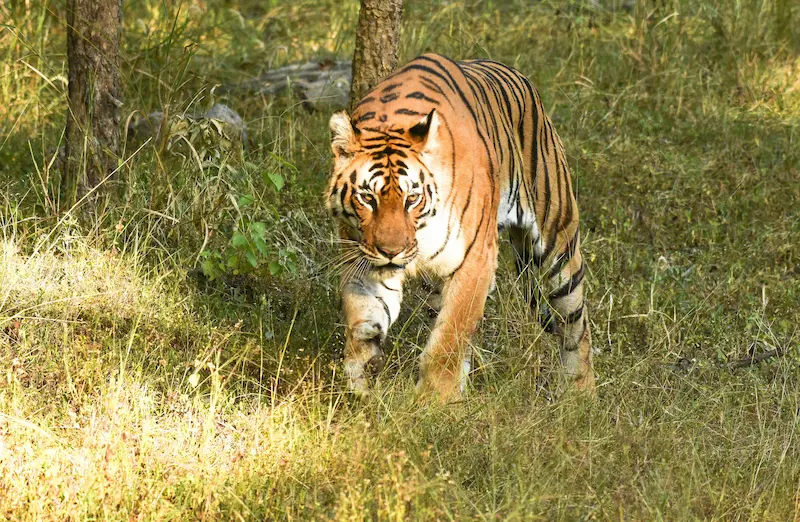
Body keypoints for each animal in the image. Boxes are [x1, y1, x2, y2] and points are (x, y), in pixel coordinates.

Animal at [325, 53, 595, 401]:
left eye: (412, 199)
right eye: (367, 198)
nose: (391, 251)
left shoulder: (475, 259)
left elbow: (450, 337)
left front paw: (436, 400)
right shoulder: (363, 261)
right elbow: (363, 318)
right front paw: (362, 382)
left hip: (556, 246)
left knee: (576, 324)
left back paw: (582, 392)